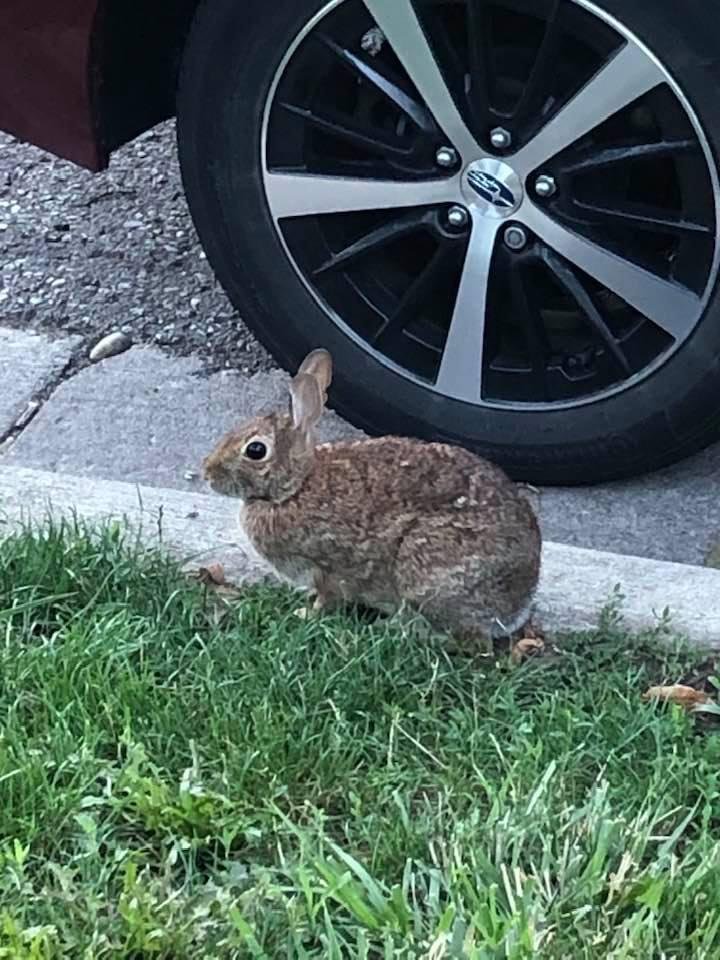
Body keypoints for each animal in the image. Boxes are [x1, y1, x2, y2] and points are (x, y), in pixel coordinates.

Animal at [203, 349, 542, 653]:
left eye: (255, 450)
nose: (207, 472)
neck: (296, 488)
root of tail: (520, 599)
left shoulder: (328, 568)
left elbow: (328, 598)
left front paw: (304, 614)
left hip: (428, 573)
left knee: (470, 641)